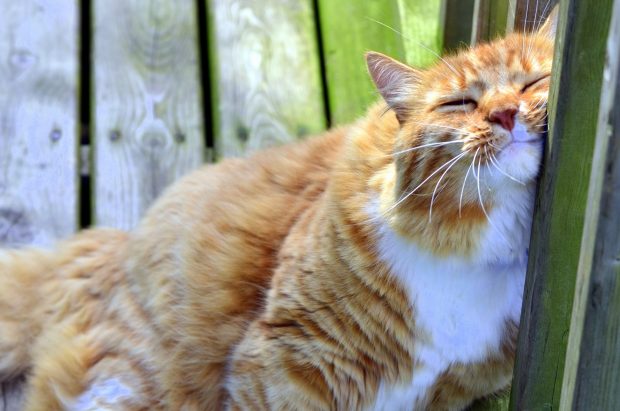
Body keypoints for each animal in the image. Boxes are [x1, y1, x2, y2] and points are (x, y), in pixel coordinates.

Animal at [1, 10, 556, 411]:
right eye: (459, 103)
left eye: (533, 82)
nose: (505, 114)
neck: (475, 250)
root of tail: (117, 242)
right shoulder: (287, 365)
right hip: (129, 383)